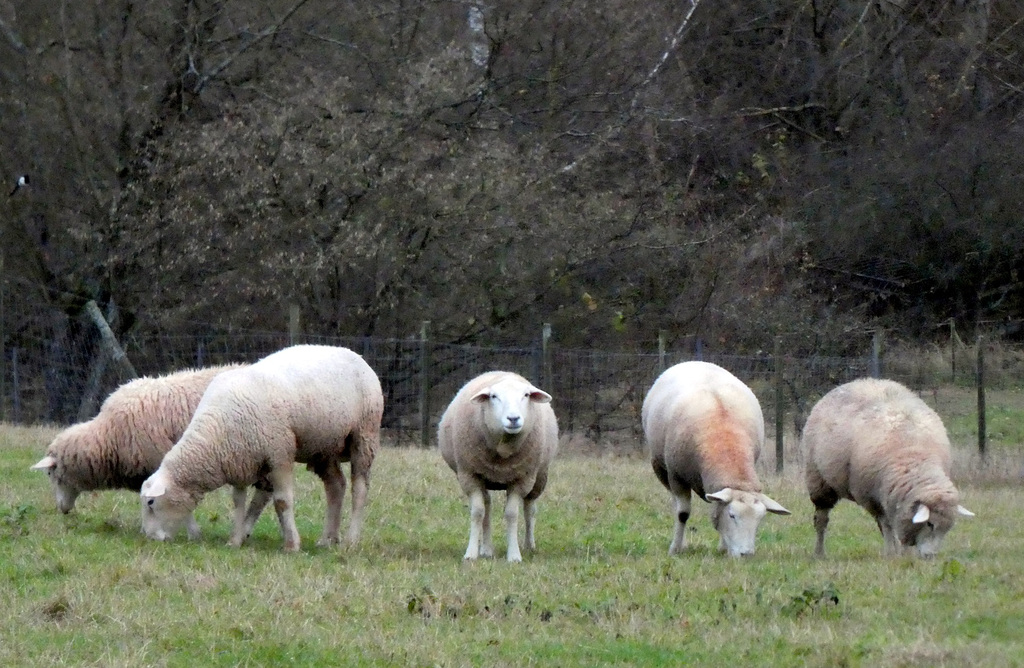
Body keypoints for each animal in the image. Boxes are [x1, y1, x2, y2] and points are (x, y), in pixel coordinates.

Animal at [140, 344, 385, 553]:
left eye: (151, 503)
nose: (150, 538)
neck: (215, 433)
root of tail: (354, 354)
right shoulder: (238, 460)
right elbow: (238, 502)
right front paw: (235, 540)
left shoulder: (279, 455)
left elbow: (282, 501)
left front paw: (291, 545)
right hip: (323, 448)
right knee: (336, 487)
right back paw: (328, 539)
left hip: (364, 434)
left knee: (359, 489)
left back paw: (351, 541)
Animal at [436, 370, 557, 565]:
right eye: (494, 396)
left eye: (526, 395)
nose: (513, 419)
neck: (503, 450)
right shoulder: (469, 476)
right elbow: (478, 512)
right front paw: (471, 554)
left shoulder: (522, 479)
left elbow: (512, 514)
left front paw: (514, 555)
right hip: (484, 477)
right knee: (487, 507)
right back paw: (486, 550)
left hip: (539, 477)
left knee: (530, 509)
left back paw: (529, 545)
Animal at [638, 362, 790, 557]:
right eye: (732, 515)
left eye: (760, 519)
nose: (746, 554)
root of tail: (695, 362)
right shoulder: (676, 476)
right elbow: (682, 513)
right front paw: (675, 549)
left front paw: (723, 547)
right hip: (660, 466)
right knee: (675, 503)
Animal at [802, 374, 970, 557]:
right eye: (930, 524)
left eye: (947, 528)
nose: (930, 556)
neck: (915, 455)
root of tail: (856, 381)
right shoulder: (872, 498)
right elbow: (887, 525)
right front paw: (891, 553)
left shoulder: (897, 499)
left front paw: (904, 554)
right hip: (819, 481)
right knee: (821, 520)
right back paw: (819, 553)